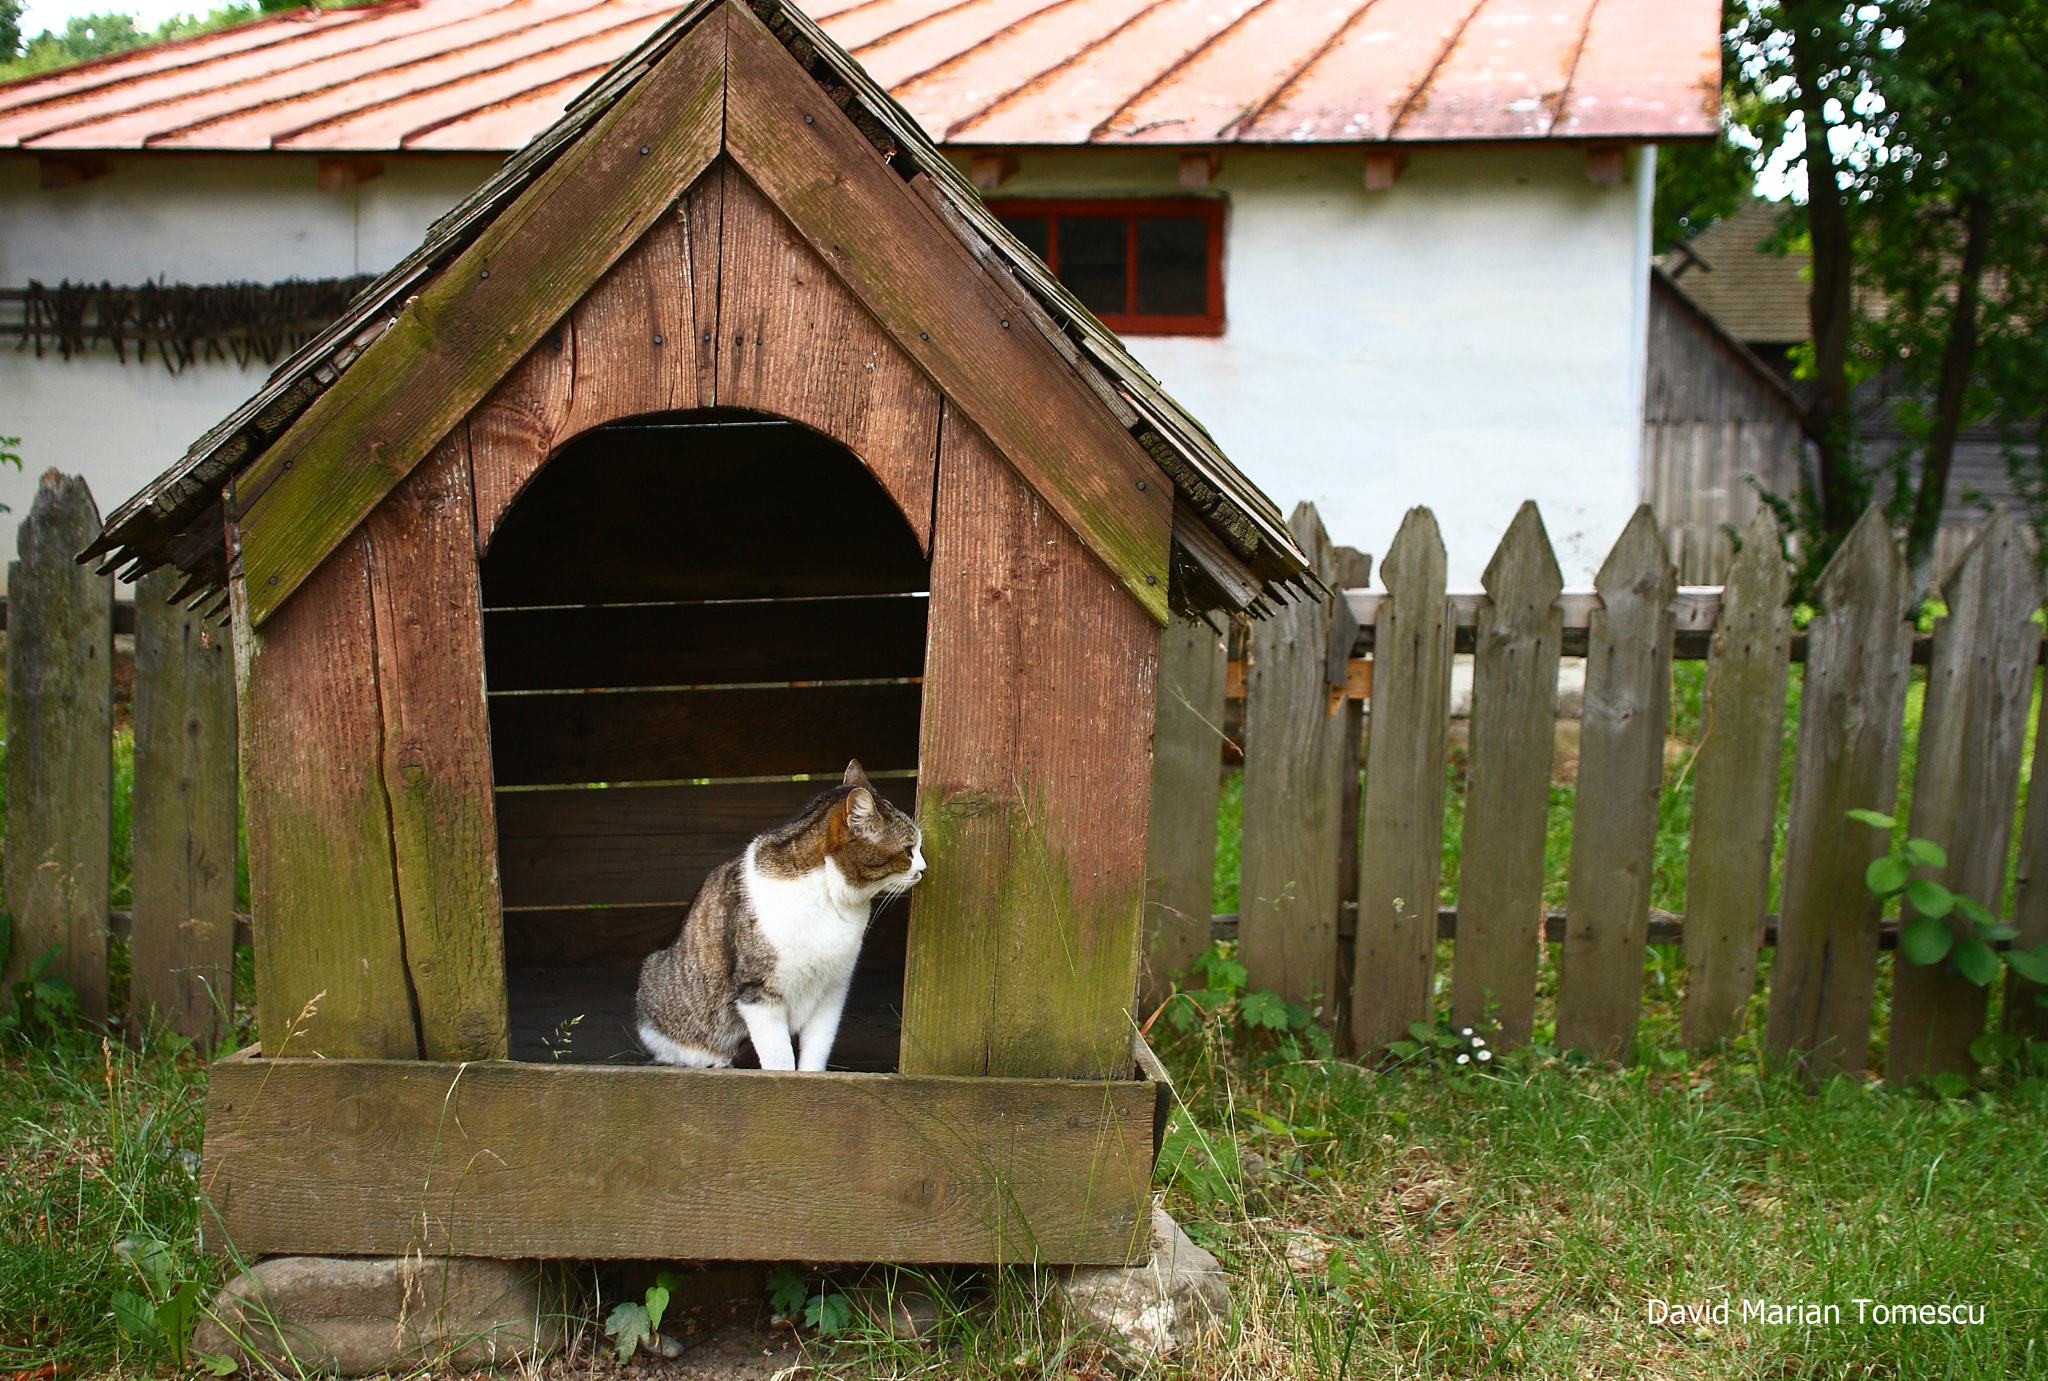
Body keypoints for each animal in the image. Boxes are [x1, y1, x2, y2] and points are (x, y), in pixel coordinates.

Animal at [634, 758, 925, 1073]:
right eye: (908, 850)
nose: (924, 868)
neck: (829, 898)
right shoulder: (759, 993)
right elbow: (779, 1058)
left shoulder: (832, 991)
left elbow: (817, 1048)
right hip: (657, 980)